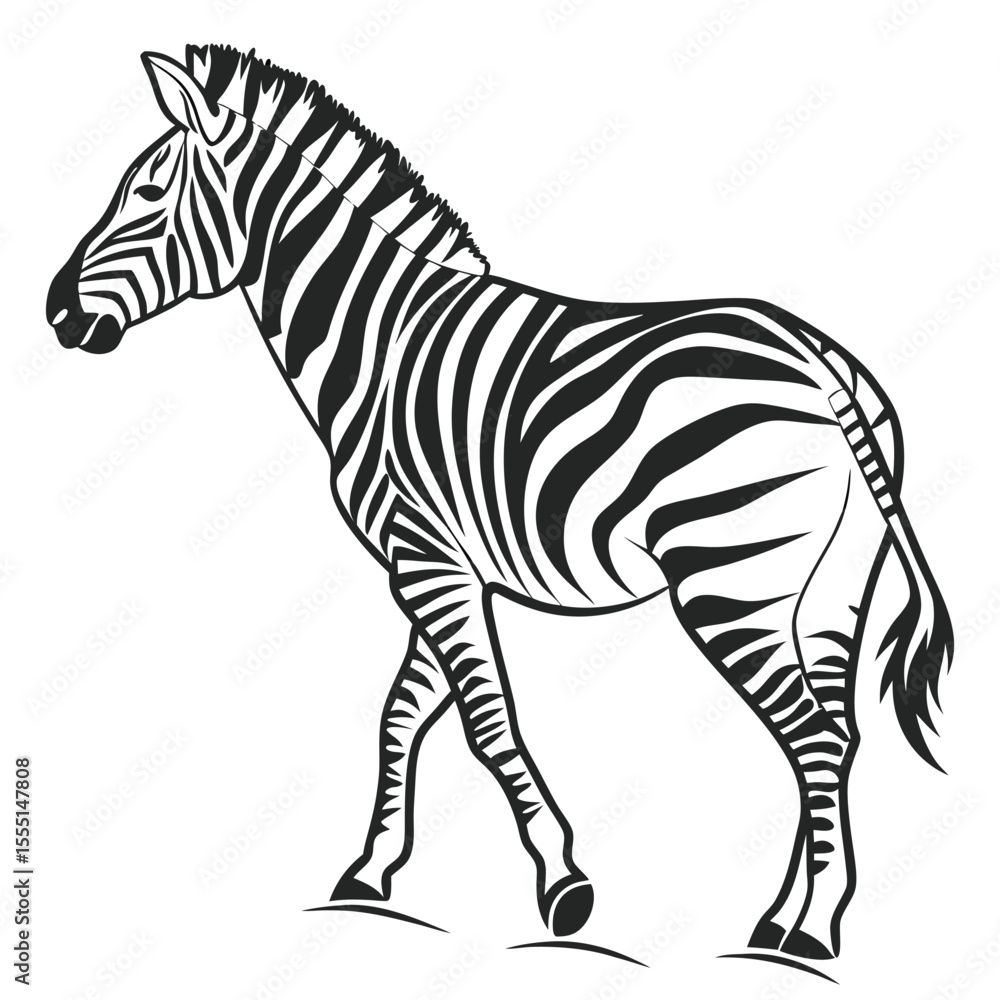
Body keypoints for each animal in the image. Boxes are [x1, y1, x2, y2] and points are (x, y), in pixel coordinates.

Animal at [47, 45, 954, 962]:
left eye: (144, 195)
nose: (55, 313)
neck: (376, 339)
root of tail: (817, 361)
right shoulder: (434, 561)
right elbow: (404, 713)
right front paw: (370, 872)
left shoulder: (426, 561)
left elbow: (485, 724)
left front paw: (564, 885)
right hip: (831, 589)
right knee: (836, 735)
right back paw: (786, 918)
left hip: (730, 579)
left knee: (813, 734)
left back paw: (809, 933)